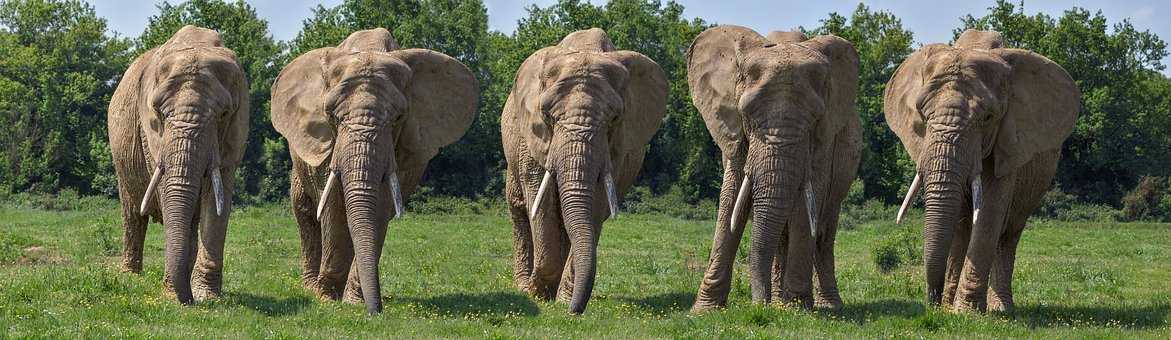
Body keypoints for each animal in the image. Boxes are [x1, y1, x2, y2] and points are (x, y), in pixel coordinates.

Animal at [108, 25, 249, 304]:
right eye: (159, 113)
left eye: (223, 114)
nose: (188, 301)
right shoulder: (149, 136)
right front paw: (175, 295)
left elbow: (217, 200)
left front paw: (207, 297)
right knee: (132, 212)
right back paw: (131, 276)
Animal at [269, 27, 475, 314]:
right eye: (332, 116)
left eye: (398, 118)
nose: (376, 311)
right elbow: (334, 208)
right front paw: (326, 298)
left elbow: (379, 208)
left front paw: (354, 301)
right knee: (306, 213)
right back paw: (310, 287)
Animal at [503, 27, 669, 314]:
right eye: (548, 116)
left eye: (614, 118)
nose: (574, 312)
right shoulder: (531, 143)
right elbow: (539, 200)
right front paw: (537, 293)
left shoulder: (615, 151)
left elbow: (595, 205)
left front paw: (561, 299)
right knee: (519, 208)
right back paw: (524, 285)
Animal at [683, 26, 861, 311]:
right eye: (746, 113)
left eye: (816, 117)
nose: (759, 305)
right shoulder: (734, 133)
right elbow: (731, 199)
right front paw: (704, 311)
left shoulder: (824, 139)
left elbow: (807, 203)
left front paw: (797, 308)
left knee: (824, 228)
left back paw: (826, 306)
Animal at [885, 30, 1077, 311]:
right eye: (922, 113)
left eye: (987, 118)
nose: (932, 303)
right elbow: (958, 220)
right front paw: (950, 308)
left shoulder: (1009, 142)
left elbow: (989, 211)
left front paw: (965, 312)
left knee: (1009, 232)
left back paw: (1001, 308)